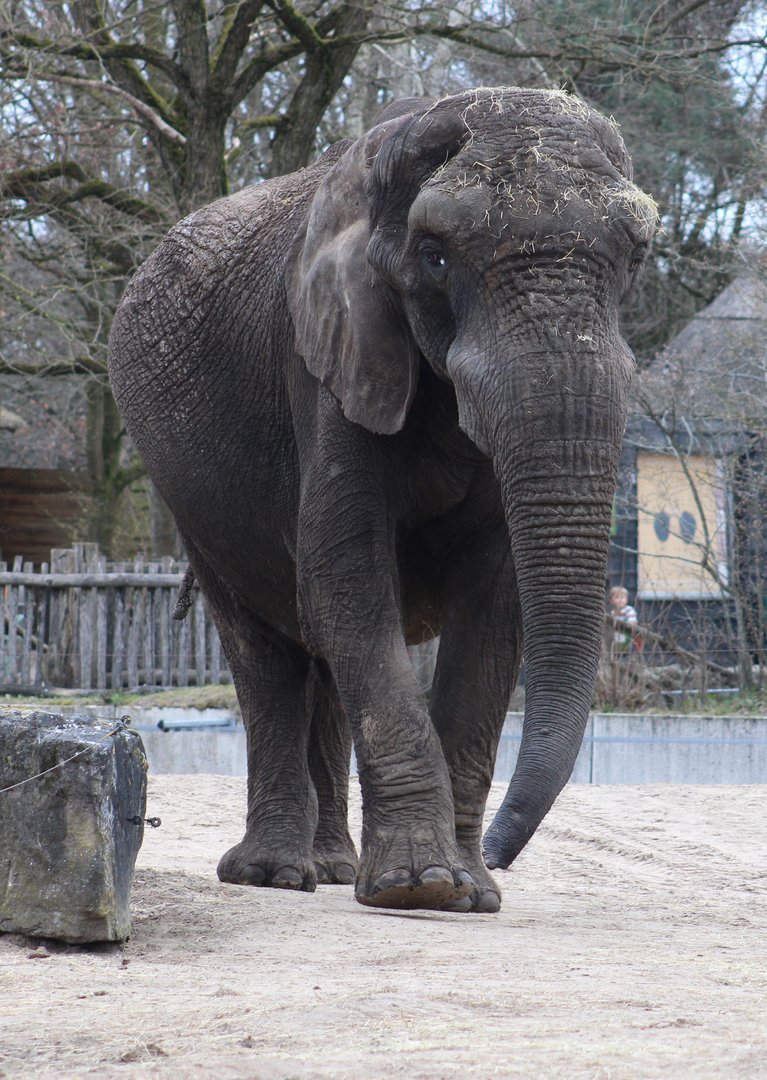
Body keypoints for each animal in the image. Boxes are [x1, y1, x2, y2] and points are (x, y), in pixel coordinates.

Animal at [109, 87, 656, 913]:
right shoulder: (326, 356)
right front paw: (421, 885)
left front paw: (465, 893)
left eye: (637, 258)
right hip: (187, 495)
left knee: (321, 657)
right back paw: (275, 875)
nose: (499, 854)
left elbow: (492, 604)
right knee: (266, 656)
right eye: (435, 256)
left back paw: (334, 869)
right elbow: (348, 575)